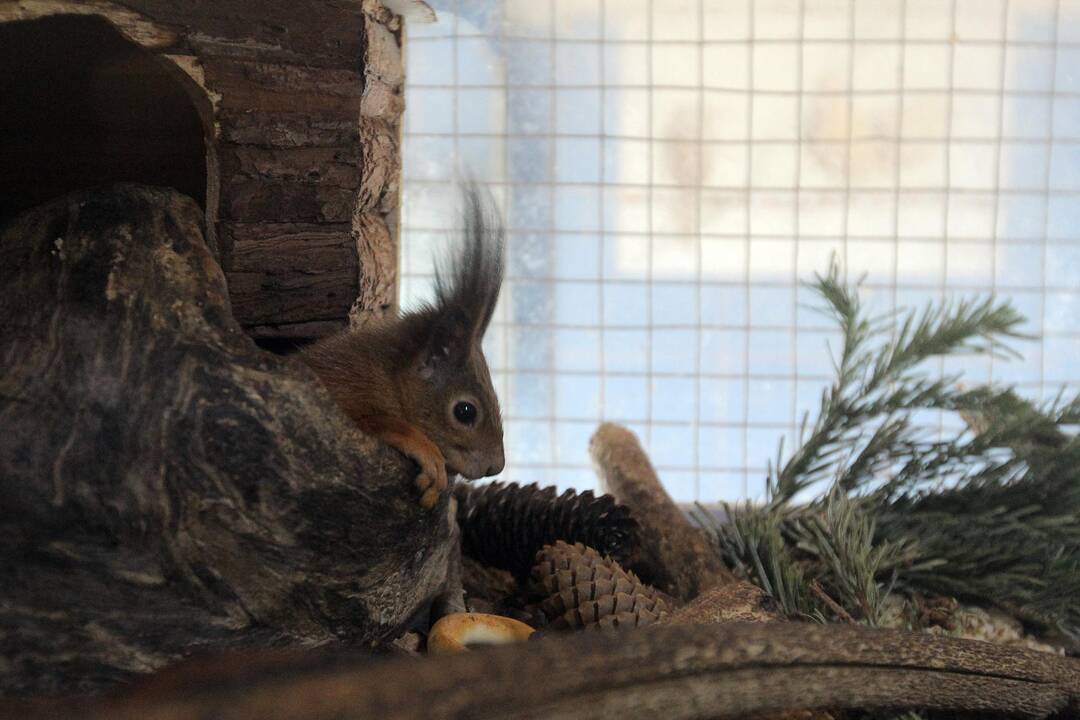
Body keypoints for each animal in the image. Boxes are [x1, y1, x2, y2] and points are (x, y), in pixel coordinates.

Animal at [304, 185, 505, 511]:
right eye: (465, 411)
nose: (495, 467)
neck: (388, 380)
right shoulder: (342, 389)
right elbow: (372, 420)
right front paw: (424, 449)